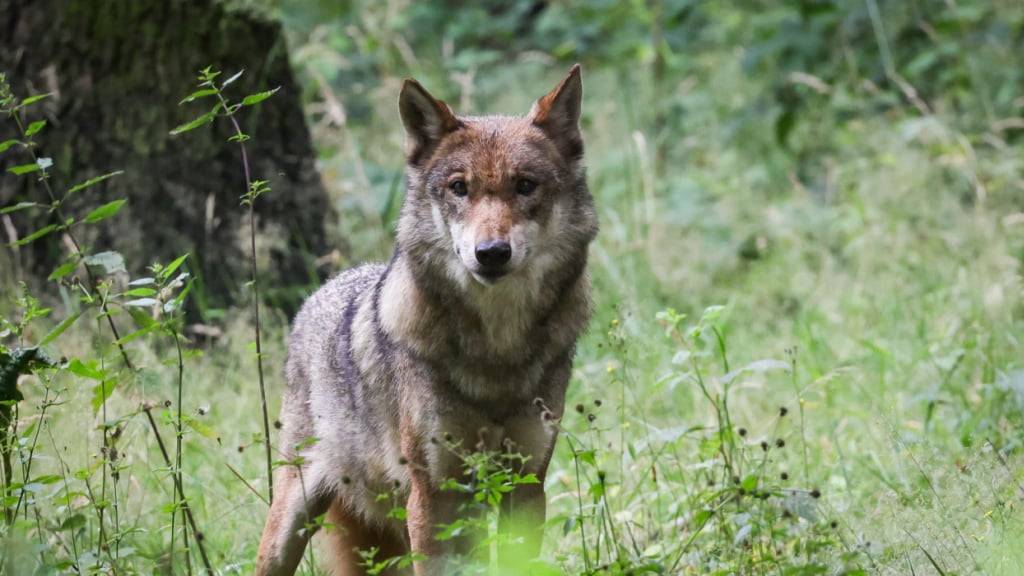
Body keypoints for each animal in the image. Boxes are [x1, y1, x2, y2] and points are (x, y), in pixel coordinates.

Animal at [254, 65, 598, 569]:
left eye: (525, 185)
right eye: (459, 187)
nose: (491, 253)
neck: (497, 351)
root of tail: (321, 291)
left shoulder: (525, 485)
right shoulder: (433, 494)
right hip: (291, 524)